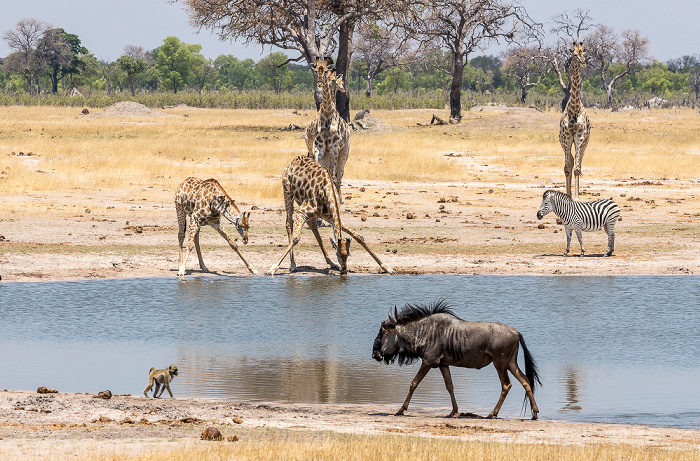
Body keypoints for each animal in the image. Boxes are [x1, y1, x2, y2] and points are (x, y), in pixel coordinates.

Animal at [266, 155, 394, 276]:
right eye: (338, 254)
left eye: (348, 255)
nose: (344, 272)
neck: (327, 192)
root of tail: (293, 161)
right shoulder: (301, 212)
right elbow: (296, 238)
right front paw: (272, 269)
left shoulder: (331, 217)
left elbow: (359, 236)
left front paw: (387, 268)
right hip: (287, 191)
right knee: (289, 223)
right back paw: (293, 266)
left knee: (312, 225)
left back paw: (331, 263)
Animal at [304, 57, 350, 201]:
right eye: (315, 69)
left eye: (325, 70)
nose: (319, 82)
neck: (327, 115)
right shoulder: (319, 146)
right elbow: (319, 170)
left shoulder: (335, 147)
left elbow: (334, 175)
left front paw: (335, 198)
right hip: (317, 148)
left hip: (344, 152)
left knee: (339, 174)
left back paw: (340, 198)